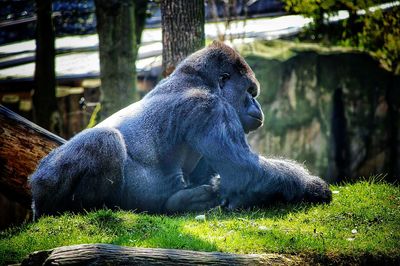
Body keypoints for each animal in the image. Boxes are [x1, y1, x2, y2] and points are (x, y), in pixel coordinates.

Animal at [30, 41, 332, 218]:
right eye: (249, 91)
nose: (257, 106)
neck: (200, 80)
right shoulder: (209, 107)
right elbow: (244, 170)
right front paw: (312, 187)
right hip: (45, 184)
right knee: (103, 141)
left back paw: (181, 201)